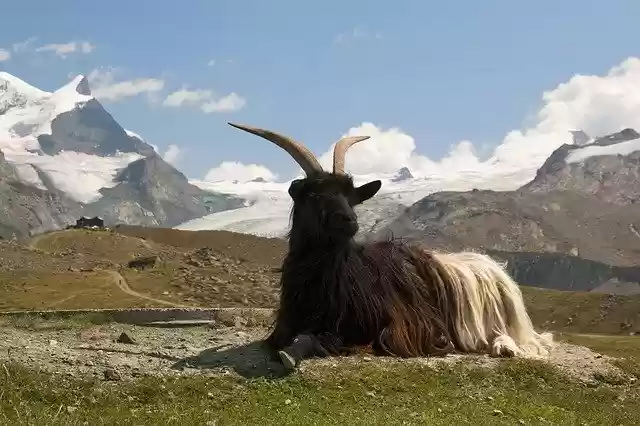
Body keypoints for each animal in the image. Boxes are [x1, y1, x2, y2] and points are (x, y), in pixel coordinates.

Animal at [228, 120, 552, 370]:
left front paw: (293, 354)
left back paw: (504, 347)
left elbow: (316, 339)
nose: (349, 220)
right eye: (313, 194)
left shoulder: (374, 329)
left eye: (351, 197)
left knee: (519, 338)